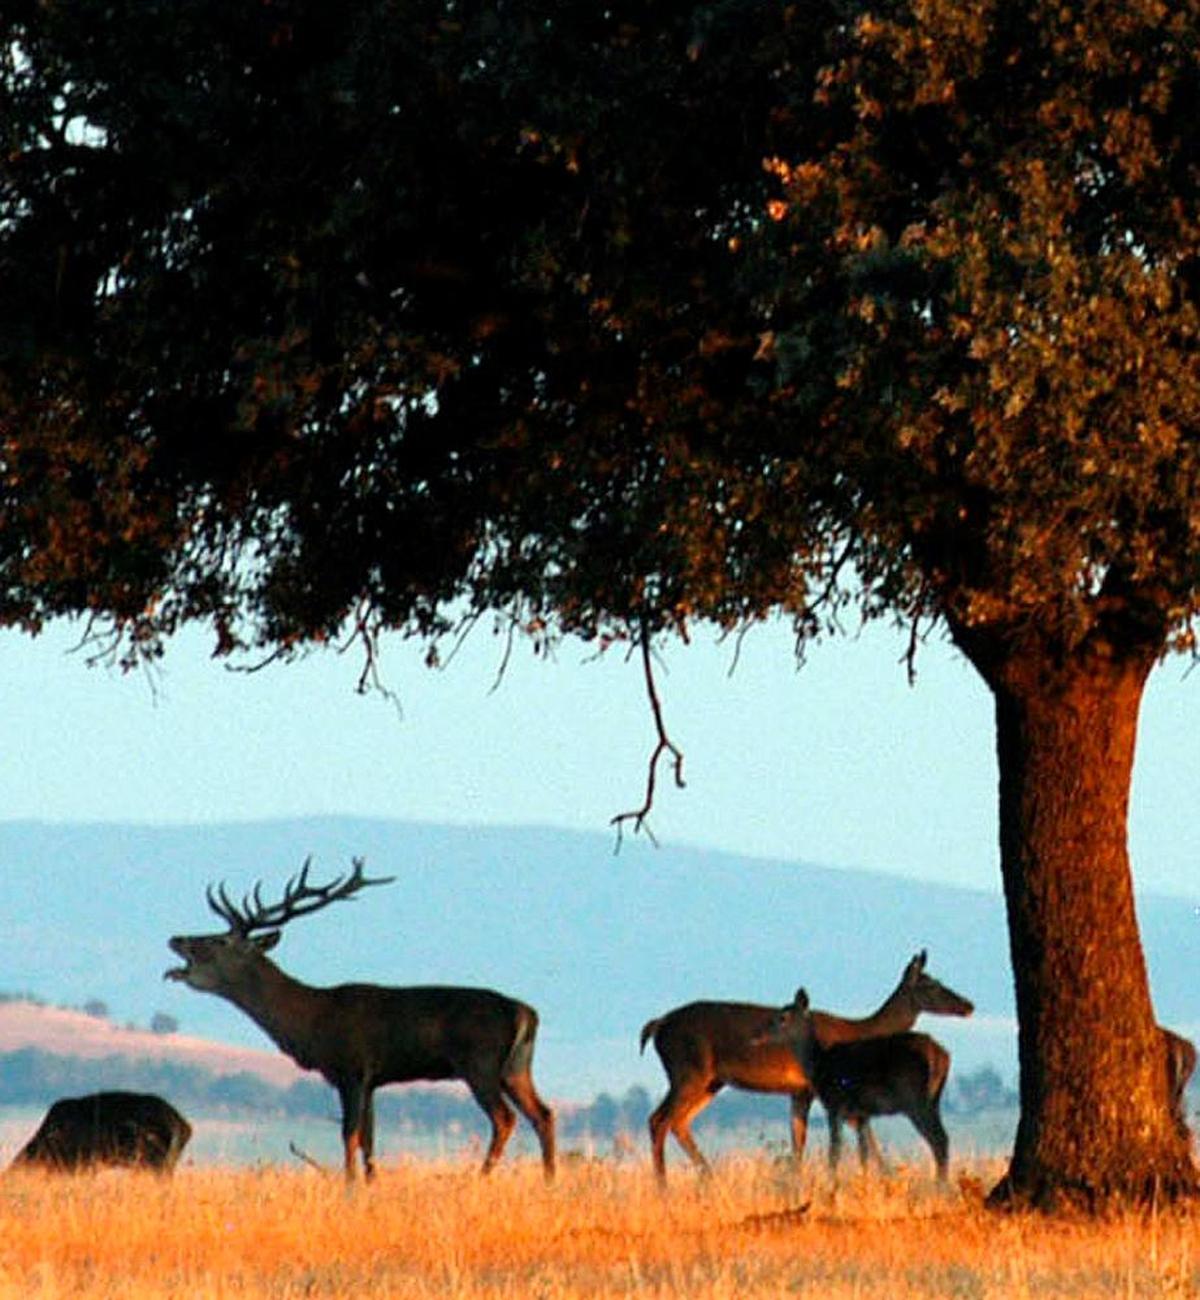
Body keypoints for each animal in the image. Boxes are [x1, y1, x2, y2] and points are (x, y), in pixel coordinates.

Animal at [165, 857, 559, 1185]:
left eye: (218, 941)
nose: (175, 938)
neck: (309, 1022)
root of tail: (527, 1013)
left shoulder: (351, 1069)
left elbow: (349, 1135)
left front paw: (350, 1186)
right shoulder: (372, 1080)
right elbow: (369, 1139)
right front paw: (370, 1184)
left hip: (479, 1063)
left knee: (504, 1118)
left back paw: (480, 1178)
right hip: (516, 1068)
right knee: (544, 1113)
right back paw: (549, 1180)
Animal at [764, 987, 951, 1185]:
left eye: (782, 1017)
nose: (760, 1034)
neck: (819, 1064)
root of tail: (942, 1056)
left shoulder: (835, 1104)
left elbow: (835, 1151)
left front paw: (832, 1183)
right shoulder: (862, 1113)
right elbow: (863, 1153)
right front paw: (864, 1182)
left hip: (915, 1099)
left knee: (939, 1139)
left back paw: (940, 1185)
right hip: (932, 1099)